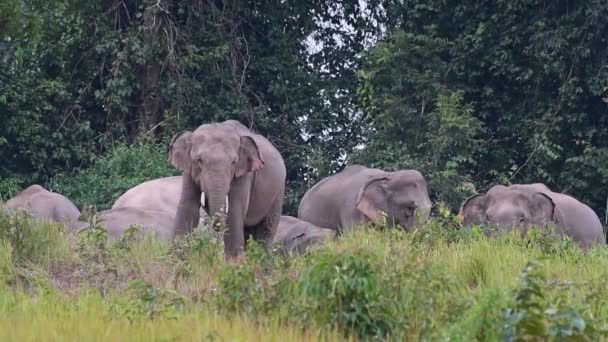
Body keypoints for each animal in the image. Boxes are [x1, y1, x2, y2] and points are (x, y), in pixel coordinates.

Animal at [169, 119, 288, 255]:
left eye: (233, 162)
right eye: (199, 160)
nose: (215, 225)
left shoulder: (243, 175)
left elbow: (234, 211)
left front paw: (234, 261)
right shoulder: (189, 172)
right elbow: (188, 207)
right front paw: (175, 258)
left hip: (278, 192)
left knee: (266, 229)